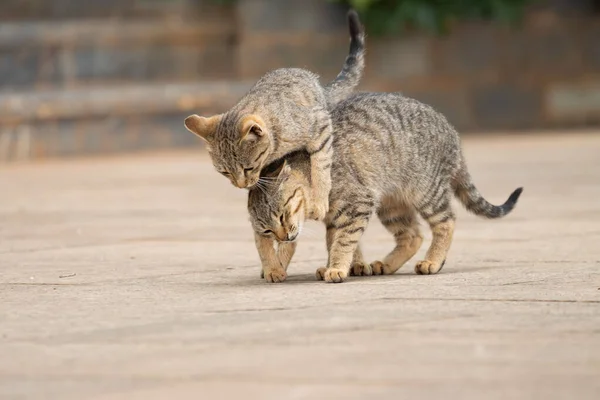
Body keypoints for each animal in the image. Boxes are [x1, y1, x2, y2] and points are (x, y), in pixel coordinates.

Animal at [184, 10, 366, 222]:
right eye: (225, 172)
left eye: (248, 168)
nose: (240, 185)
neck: (276, 148)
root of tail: (318, 84)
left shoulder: (320, 125)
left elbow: (320, 166)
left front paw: (320, 201)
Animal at [246, 92, 524, 282]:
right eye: (268, 231)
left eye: (282, 216)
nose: (283, 236)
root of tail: (453, 132)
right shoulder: (339, 216)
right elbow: (337, 240)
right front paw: (338, 264)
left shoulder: (358, 203)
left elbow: (343, 241)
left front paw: (337, 267)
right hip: (391, 207)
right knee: (412, 235)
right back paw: (388, 264)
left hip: (426, 192)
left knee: (446, 222)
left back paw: (433, 261)